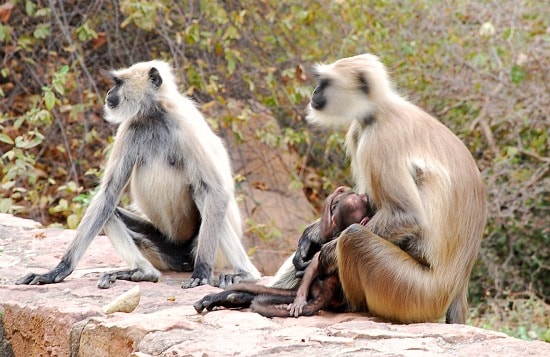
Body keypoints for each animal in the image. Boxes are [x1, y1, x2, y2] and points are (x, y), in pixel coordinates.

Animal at [15, 59, 260, 288]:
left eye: (118, 83)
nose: (109, 93)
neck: (155, 115)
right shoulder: (130, 127)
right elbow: (108, 194)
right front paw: (58, 270)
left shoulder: (184, 128)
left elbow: (216, 191)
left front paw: (202, 272)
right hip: (164, 248)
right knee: (109, 211)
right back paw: (143, 272)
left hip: (209, 249)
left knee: (202, 191)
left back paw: (246, 274)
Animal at [270, 52, 490, 322]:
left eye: (325, 82)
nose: (314, 92)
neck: (378, 111)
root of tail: (457, 285)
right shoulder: (359, 130)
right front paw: (312, 236)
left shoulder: (380, 140)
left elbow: (406, 215)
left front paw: (326, 253)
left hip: (415, 294)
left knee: (353, 237)